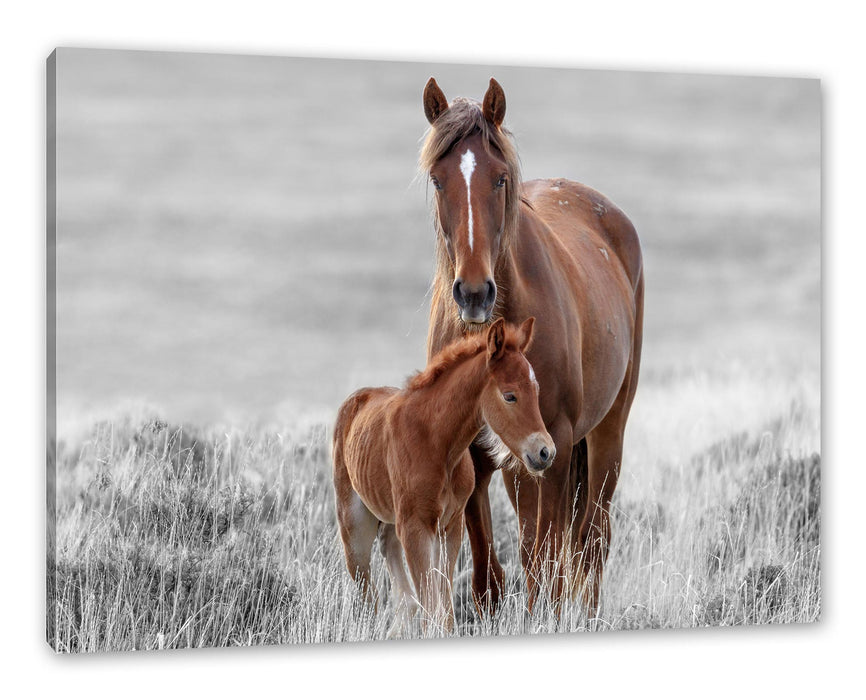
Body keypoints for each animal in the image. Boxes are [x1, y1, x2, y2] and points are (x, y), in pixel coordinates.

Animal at [330, 318, 552, 636]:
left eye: (536, 390)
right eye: (510, 395)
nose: (545, 452)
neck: (438, 444)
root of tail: (355, 400)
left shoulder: (450, 526)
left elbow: (443, 608)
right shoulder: (416, 527)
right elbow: (430, 605)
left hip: (393, 521)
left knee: (393, 565)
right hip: (354, 526)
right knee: (366, 591)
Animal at [418, 74, 640, 616]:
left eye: (500, 179)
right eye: (438, 180)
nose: (474, 293)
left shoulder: (551, 443)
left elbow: (546, 560)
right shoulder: (475, 452)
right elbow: (488, 570)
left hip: (604, 434)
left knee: (591, 538)